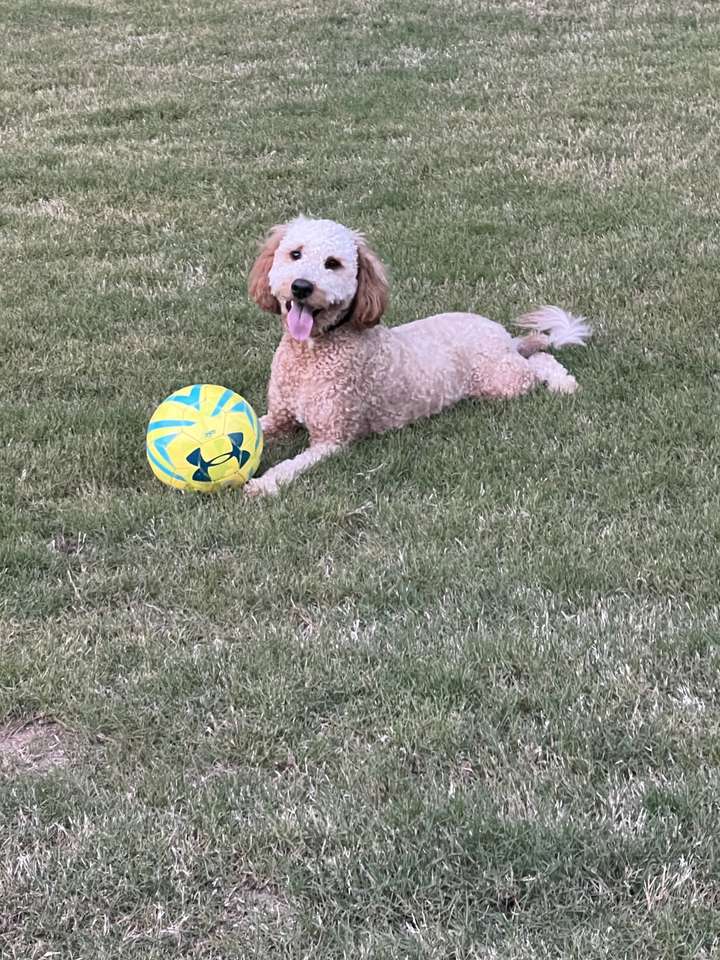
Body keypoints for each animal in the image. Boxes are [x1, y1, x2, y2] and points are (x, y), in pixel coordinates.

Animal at [245, 216, 588, 496]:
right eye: (295, 253)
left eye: (332, 263)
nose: (301, 286)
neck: (310, 354)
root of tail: (504, 335)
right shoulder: (280, 417)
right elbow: (259, 426)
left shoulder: (332, 439)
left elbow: (289, 466)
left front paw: (263, 484)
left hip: (502, 380)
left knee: (539, 361)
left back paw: (564, 383)